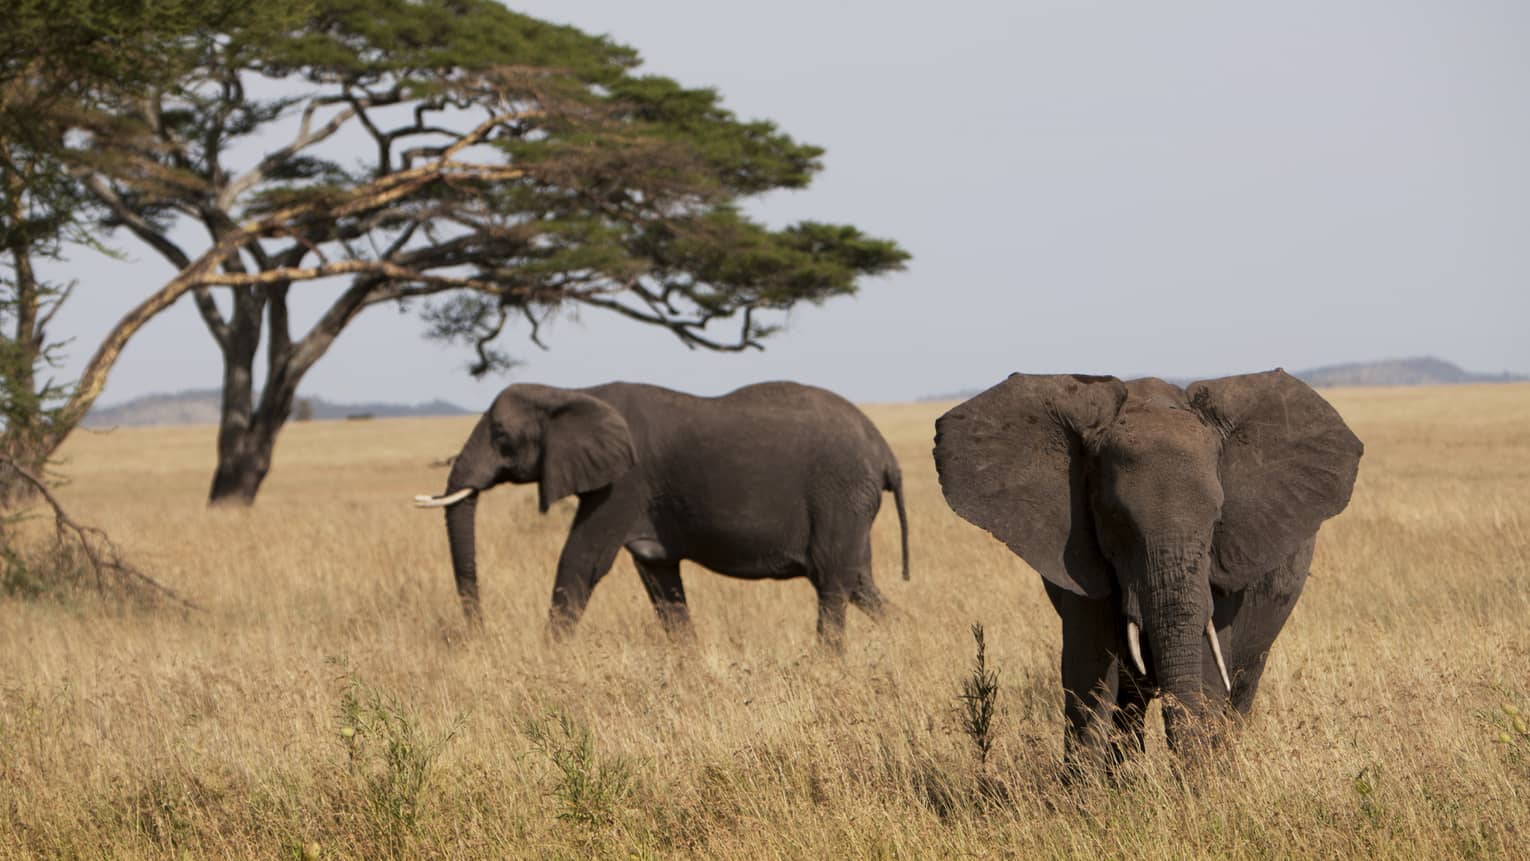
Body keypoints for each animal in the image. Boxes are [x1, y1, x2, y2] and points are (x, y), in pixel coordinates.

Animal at [413, 379, 899, 648]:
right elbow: (659, 578)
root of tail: (883, 449)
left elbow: (582, 560)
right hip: (850, 504)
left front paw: (547, 660)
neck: (573, 393)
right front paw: (690, 666)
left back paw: (828, 661)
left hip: (839, 494)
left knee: (833, 580)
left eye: (501, 436)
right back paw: (903, 641)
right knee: (858, 581)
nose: (478, 632)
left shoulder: (625, 482)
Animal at [930, 370, 1364, 761]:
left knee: (1240, 689)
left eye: (1217, 520)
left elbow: (1209, 671)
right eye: (1116, 521)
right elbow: (1088, 676)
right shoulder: (1083, 557)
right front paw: (1087, 797)